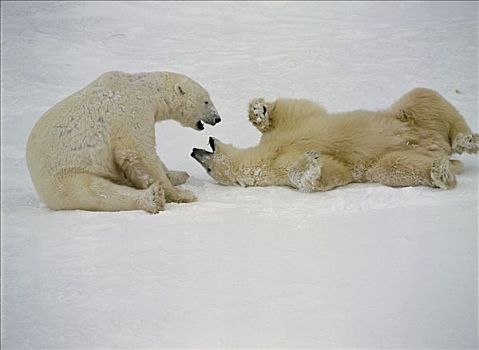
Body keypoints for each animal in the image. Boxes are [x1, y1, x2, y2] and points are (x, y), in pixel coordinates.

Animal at [26, 70, 221, 213]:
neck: (145, 89)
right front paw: (182, 194)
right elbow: (141, 154)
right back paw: (152, 198)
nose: (217, 118)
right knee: (97, 192)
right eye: (206, 101)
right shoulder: (131, 113)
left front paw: (177, 174)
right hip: (66, 176)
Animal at [193, 87, 478, 191]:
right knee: (400, 168)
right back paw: (440, 172)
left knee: (424, 97)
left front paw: (258, 111)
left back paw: (467, 140)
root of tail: (437, 146)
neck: (264, 156)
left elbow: (294, 110)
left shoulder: (286, 132)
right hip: (386, 161)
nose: (194, 151)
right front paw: (312, 166)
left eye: (208, 167)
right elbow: (332, 173)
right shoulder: (277, 169)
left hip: (406, 117)